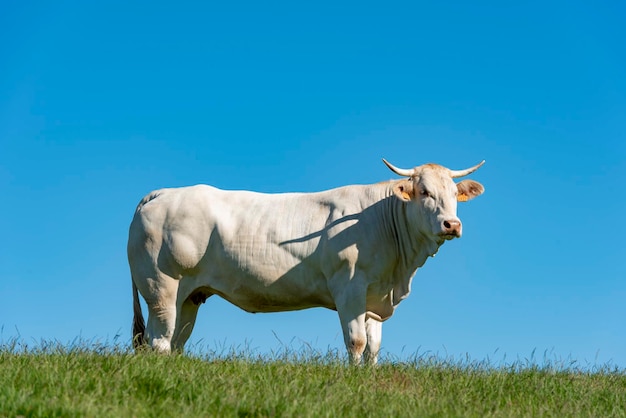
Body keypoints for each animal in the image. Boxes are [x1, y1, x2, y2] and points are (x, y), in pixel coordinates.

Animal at [128, 158, 482, 364]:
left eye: (454, 194)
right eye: (424, 192)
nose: (452, 224)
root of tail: (163, 193)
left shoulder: (375, 296)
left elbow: (374, 346)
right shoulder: (350, 289)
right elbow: (356, 341)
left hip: (190, 294)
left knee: (176, 340)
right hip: (162, 287)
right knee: (159, 340)